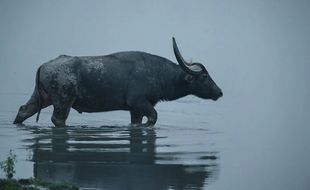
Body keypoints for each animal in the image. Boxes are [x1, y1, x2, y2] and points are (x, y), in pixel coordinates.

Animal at [13, 37, 222, 127]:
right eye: (204, 77)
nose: (219, 92)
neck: (158, 73)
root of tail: (44, 65)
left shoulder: (135, 110)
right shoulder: (139, 103)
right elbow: (153, 118)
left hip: (41, 97)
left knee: (23, 110)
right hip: (63, 101)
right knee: (58, 120)